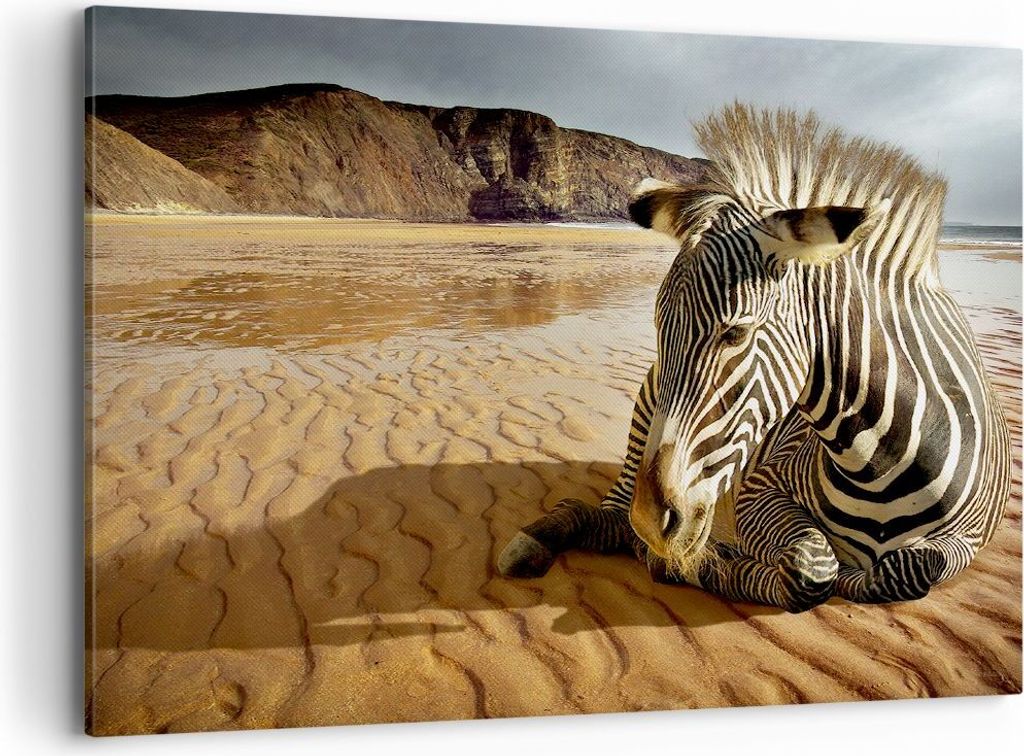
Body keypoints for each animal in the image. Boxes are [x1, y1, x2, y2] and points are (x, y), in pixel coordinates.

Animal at [497, 104, 1012, 612]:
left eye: (736, 333)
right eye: (660, 328)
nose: (651, 520)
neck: (880, 462)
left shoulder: (968, 539)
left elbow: (905, 568)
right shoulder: (760, 488)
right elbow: (811, 569)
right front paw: (702, 564)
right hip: (645, 417)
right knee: (611, 518)